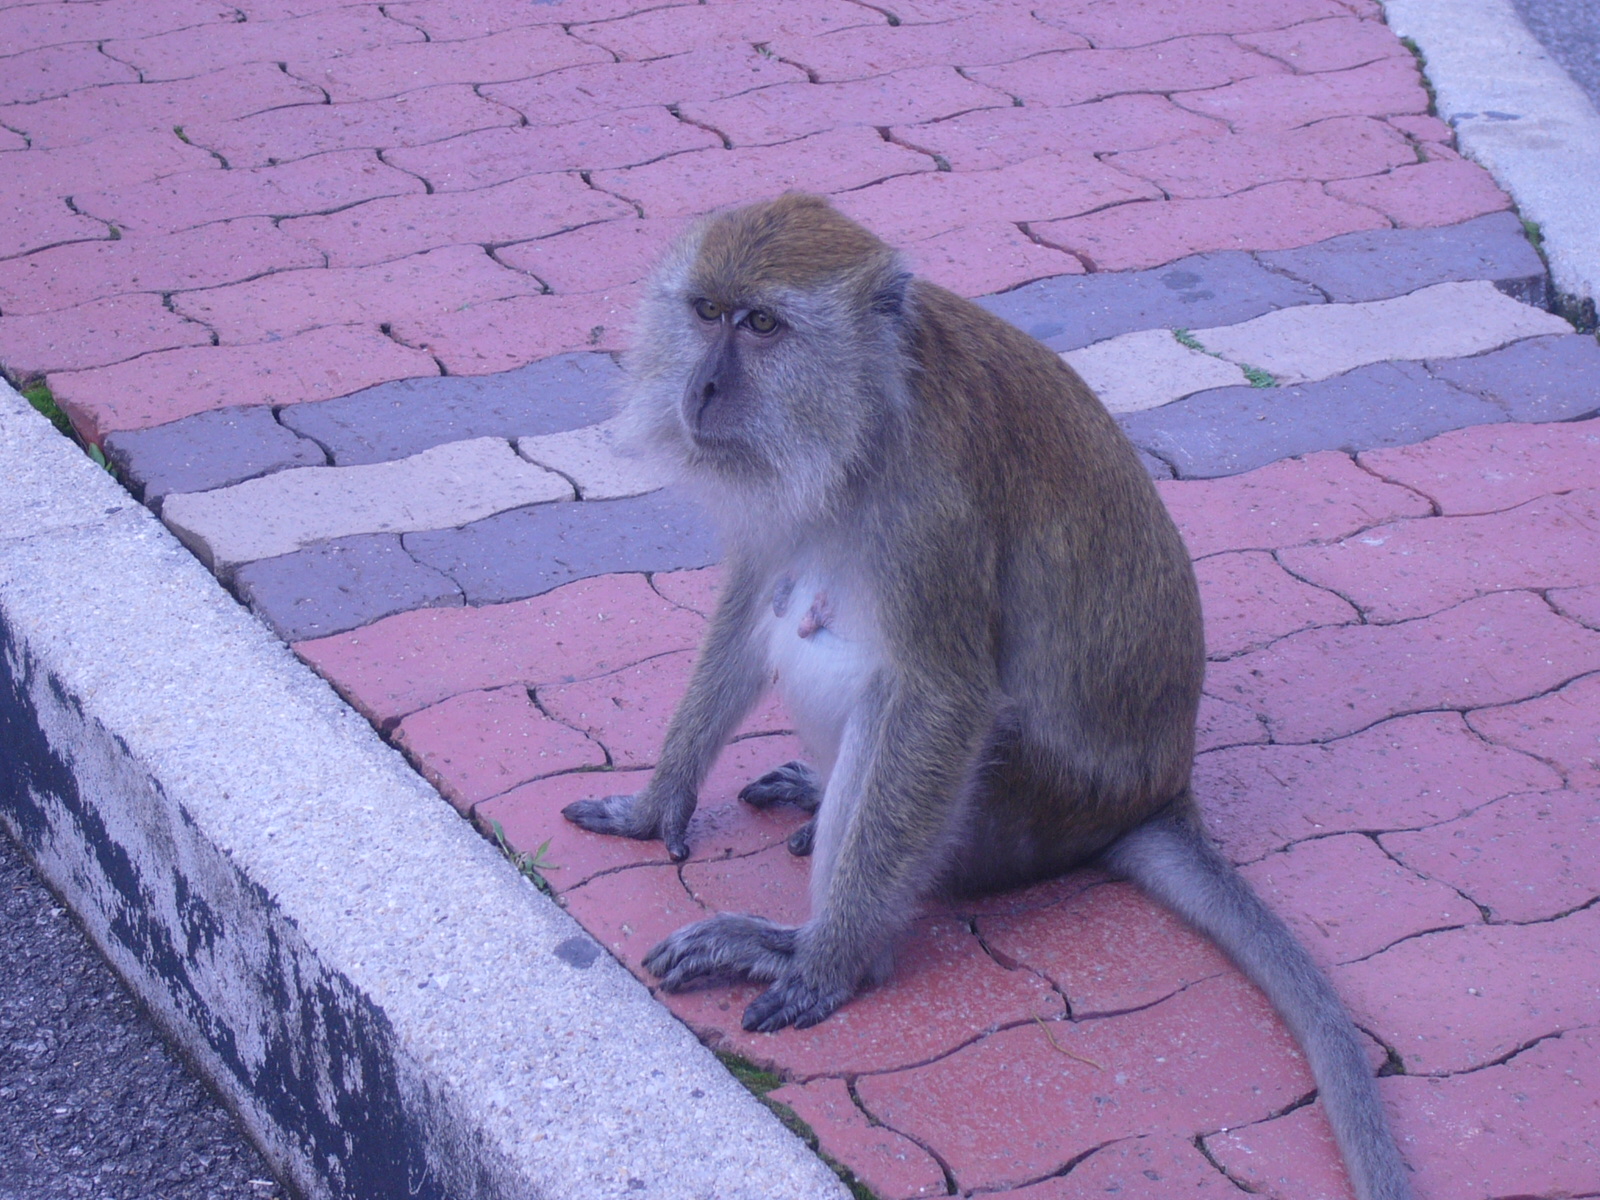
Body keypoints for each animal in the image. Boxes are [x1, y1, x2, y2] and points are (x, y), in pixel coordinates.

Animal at [563, 193, 1412, 1200]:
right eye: (704, 312)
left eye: (763, 326)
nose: (703, 389)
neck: (867, 415)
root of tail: (1158, 793)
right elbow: (752, 592)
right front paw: (658, 801)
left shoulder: (932, 510)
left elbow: (941, 695)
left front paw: (827, 961)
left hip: (1022, 806)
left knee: (884, 693)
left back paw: (813, 940)